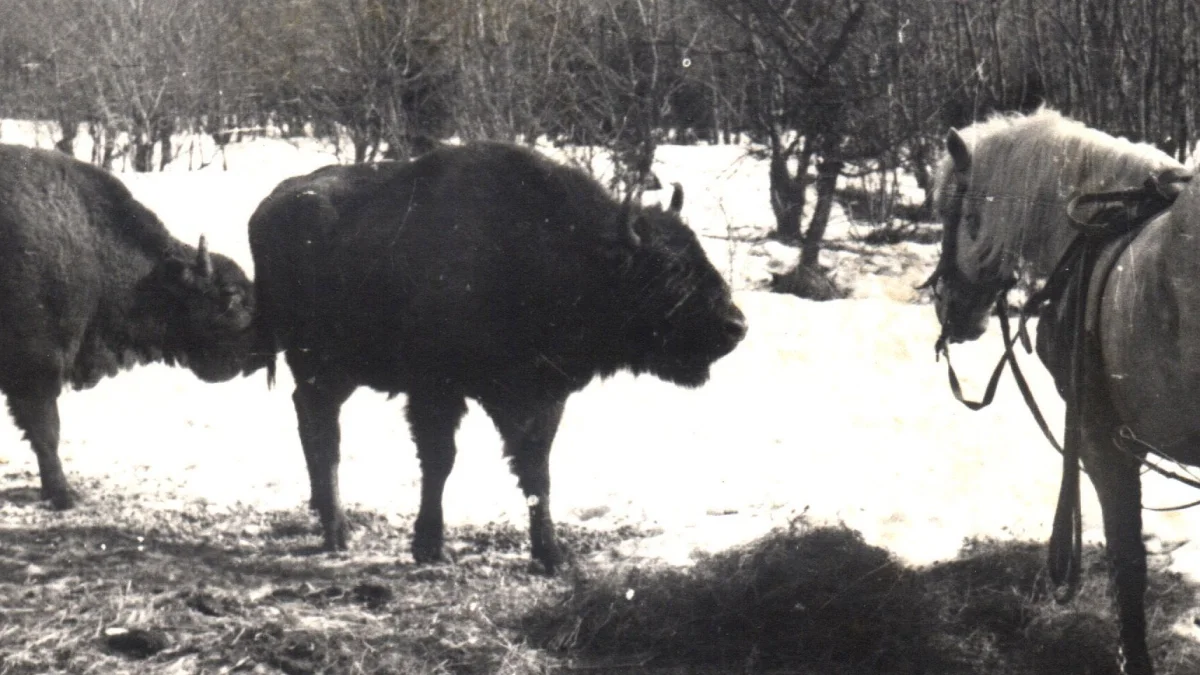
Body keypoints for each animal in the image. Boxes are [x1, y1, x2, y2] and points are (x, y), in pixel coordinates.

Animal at [248, 140, 744, 566]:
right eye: (670, 268)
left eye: (698, 251)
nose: (736, 326)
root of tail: (268, 207)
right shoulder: (436, 392)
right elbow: (440, 462)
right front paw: (429, 546)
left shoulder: (540, 398)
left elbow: (536, 471)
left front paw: (551, 554)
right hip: (318, 364)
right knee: (323, 433)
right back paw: (337, 530)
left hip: (338, 371)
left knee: (311, 422)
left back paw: (323, 513)